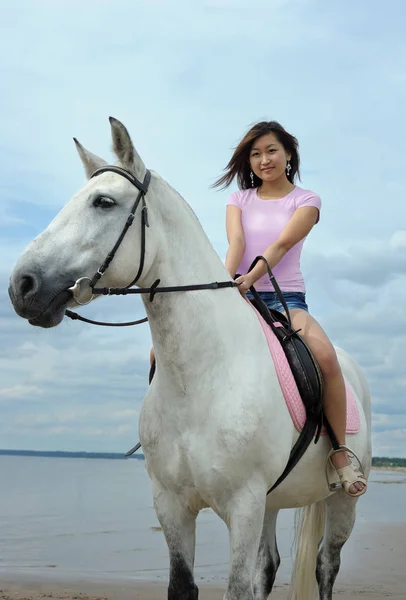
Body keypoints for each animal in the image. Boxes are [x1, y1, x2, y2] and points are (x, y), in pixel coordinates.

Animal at [8, 118, 372, 600]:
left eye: (103, 202)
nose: (21, 286)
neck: (200, 379)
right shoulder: (173, 505)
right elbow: (184, 586)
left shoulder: (243, 505)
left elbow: (238, 588)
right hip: (273, 501)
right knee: (269, 566)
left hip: (340, 499)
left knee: (325, 566)